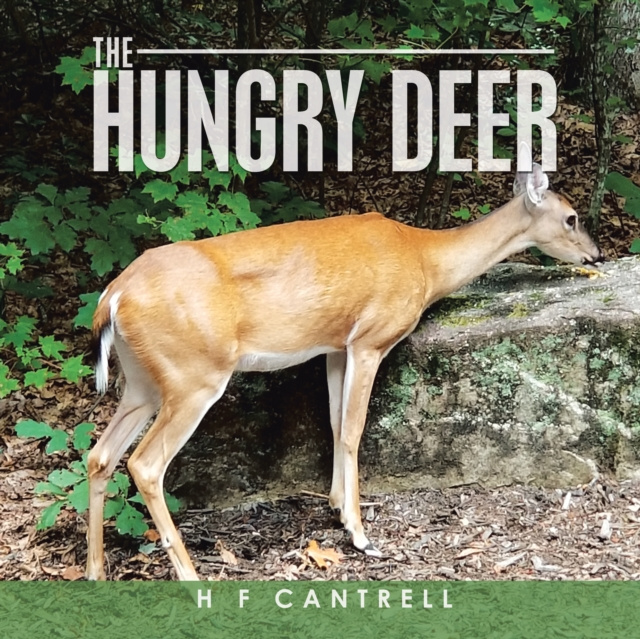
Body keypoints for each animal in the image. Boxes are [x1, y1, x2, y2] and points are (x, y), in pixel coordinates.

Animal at [86, 161, 603, 580]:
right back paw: (190, 575)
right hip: (194, 375)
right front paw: (359, 533)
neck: (425, 261)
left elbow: (335, 424)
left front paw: (336, 507)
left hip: (143, 381)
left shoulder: (335, 347)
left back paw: (96, 571)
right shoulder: (371, 337)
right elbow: (355, 429)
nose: (595, 256)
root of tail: (113, 297)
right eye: (572, 217)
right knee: (145, 464)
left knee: (100, 456)